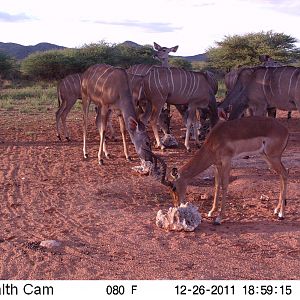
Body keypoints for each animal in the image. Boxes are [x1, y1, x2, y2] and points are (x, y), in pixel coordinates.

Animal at [152, 117, 288, 225]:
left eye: (173, 187)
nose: (177, 205)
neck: (214, 140)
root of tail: (285, 129)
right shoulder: (216, 165)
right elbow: (216, 186)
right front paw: (211, 212)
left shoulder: (227, 162)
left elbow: (224, 186)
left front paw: (219, 218)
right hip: (267, 158)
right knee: (281, 175)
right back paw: (276, 210)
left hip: (273, 157)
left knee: (285, 173)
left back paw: (281, 214)